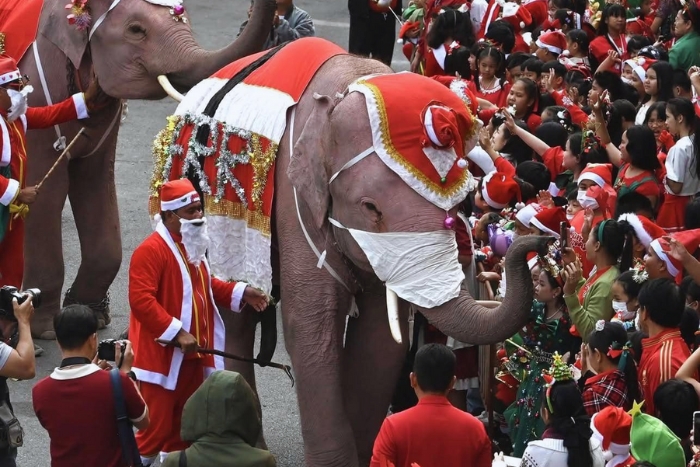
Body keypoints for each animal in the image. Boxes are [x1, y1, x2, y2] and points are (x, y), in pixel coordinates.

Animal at [17, 0, 278, 338]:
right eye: (136, 30)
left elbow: (97, 179)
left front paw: (93, 316)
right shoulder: (38, 92)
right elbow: (47, 188)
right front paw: (46, 329)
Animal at [153, 37, 552, 467]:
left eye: (462, 201)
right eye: (370, 208)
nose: (539, 241)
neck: (349, 89)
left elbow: (383, 335)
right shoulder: (296, 202)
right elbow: (312, 322)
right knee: (235, 310)